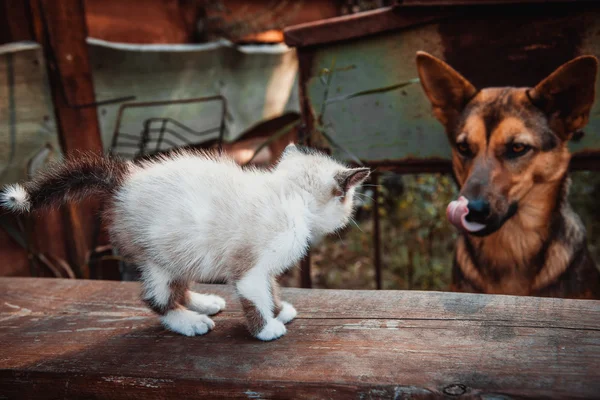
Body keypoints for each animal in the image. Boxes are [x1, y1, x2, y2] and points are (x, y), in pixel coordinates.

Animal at [1, 145, 370, 340]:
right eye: (349, 198)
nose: (352, 212)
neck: (288, 195)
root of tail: (123, 182)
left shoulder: (264, 267)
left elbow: (271, 288)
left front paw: (280, 310)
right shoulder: (248, 269)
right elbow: (255, 297)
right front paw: (267, 328)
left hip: (182, 252)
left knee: (179, 285)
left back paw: (203, 303)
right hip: (156, 257)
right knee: (155, 298)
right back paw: (188, 321)